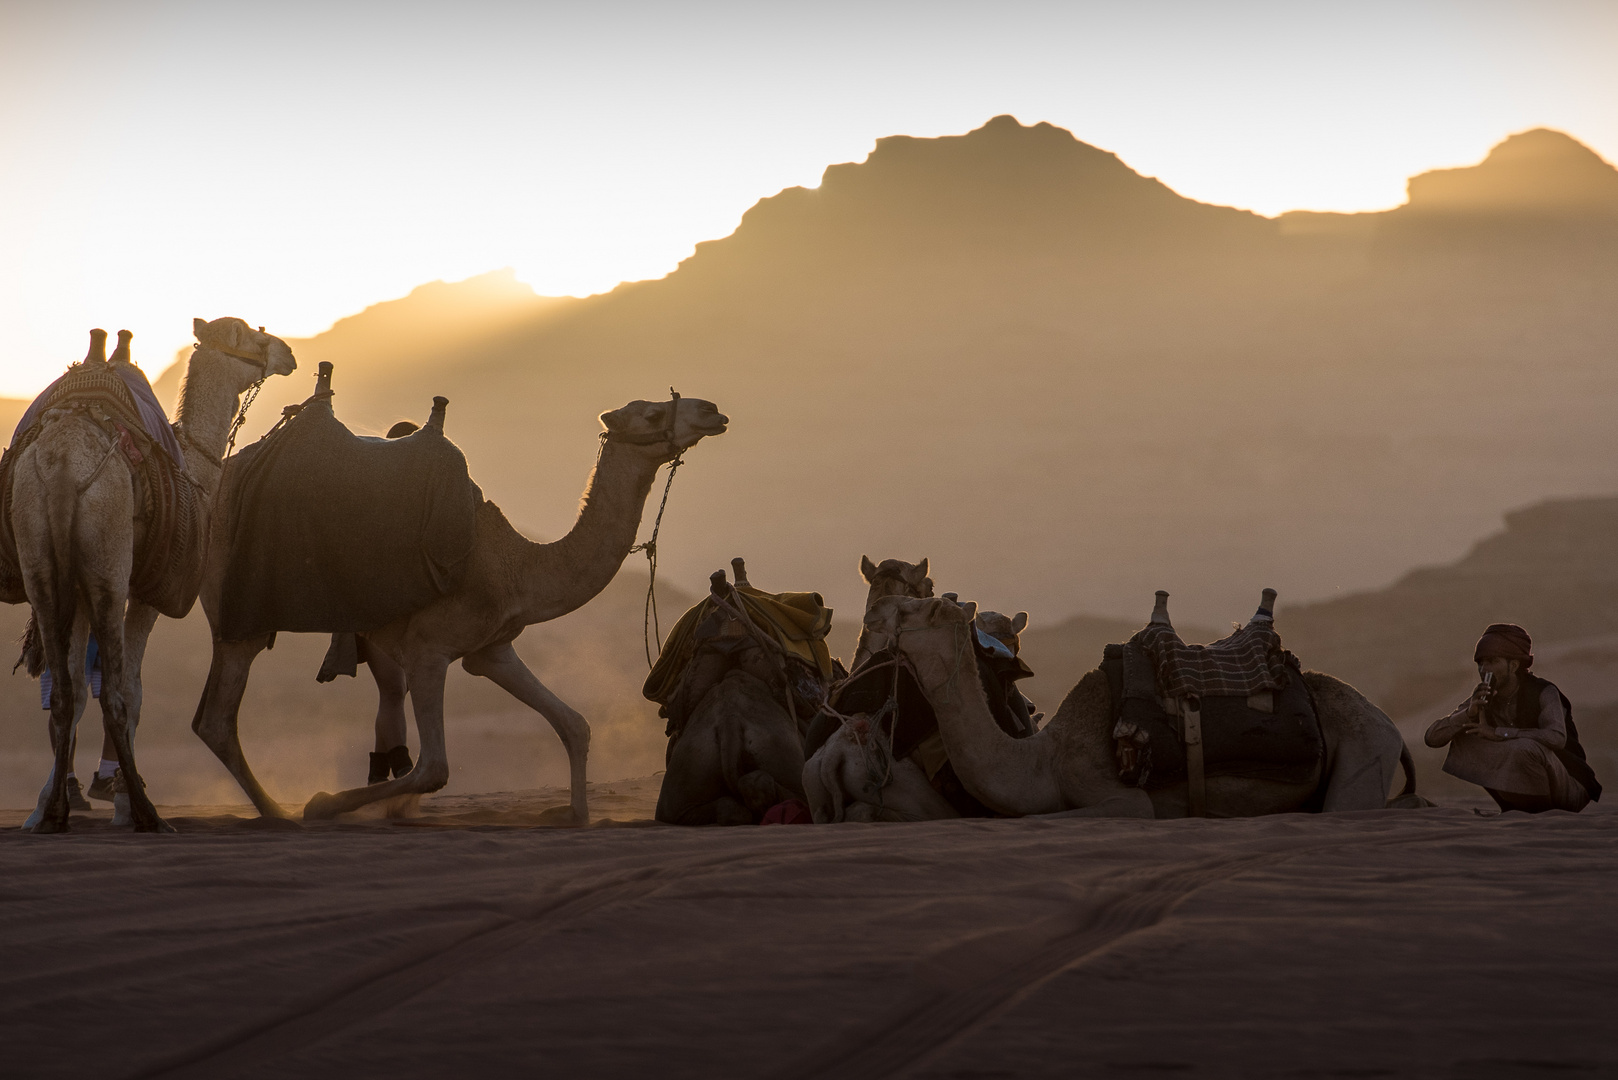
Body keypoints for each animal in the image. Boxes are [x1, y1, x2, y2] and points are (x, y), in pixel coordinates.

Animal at [8, 320, 297, 835]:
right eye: (251, 334)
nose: (288, 353)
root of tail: (61, 463)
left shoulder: (75, 590)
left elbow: (76, 690)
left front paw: (44, 806)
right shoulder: (145, 593)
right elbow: (131, 689)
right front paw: (124, 799)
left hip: (39, 554)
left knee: (63, 690)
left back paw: (58, 812)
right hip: (108, 566)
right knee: (114, 691)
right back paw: (148, 813)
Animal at [186, 393, 731, 822]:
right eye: (652, 413)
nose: (712, 410)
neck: (515, 566)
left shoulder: (490, 650)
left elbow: (574, 724)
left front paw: (575, 814)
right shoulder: (429, 649)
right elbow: (435, 768)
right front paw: (322, 802)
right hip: (238, 608)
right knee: (218, 719)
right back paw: (279, 812)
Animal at [867, 592, 1410, 819]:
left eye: (919, 609)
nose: (875, 612)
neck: (1045, 760)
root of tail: (1390, 726)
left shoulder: (1121, 797)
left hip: (1364, 751)